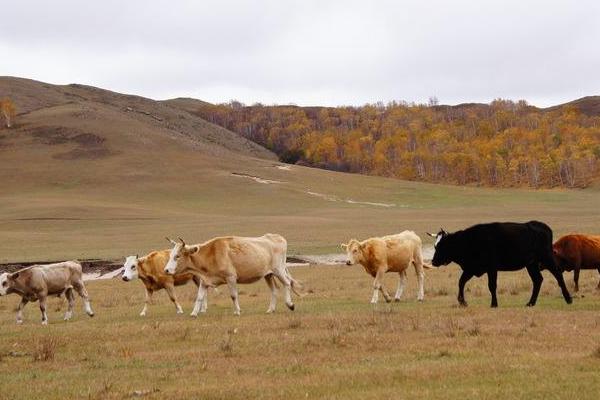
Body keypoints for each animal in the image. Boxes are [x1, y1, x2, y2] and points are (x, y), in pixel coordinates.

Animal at [163, 234, 300, 316]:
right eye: (171, 255)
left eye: (177, 256)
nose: (166, 270)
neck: (211, 254)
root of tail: (277, 237)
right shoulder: (204, 281)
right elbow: (199, 297)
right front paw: (194, 313)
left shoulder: (231, 278)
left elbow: (234, 295)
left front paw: (237, 311)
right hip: (268, 275)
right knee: (274, 290)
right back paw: (271, 309)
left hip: (278, 270)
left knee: (287, 283)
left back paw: (290, 304)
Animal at [428, 220, 568, 308]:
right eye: (435, 245)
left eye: (441, 246)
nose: (433, 261)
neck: (469, 241)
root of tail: (542, 226)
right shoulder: (471, 269)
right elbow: (461, 282)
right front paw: (462, 302)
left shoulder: (491, 268)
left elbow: (492, 286)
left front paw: (494, 304)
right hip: (531, 264)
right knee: (538, 280)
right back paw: (530, 303)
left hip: (546, 258)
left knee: (558, 275)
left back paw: (568, 298)